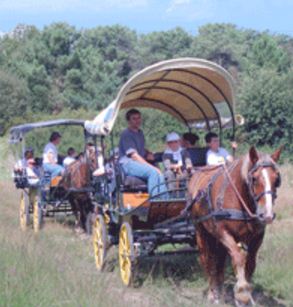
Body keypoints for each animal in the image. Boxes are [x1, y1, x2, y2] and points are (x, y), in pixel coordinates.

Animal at [187, 146, 280, 306]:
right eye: (254, 178)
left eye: (276, 179)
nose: (267, 215)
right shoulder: (223, 232)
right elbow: (238, 257)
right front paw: (241, 293)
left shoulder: (257, 237)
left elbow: (250, 263)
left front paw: (248, 296)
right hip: (201, 231)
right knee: (207, 260)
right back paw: (212, 294)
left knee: (219, 262)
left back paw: (220, 292)